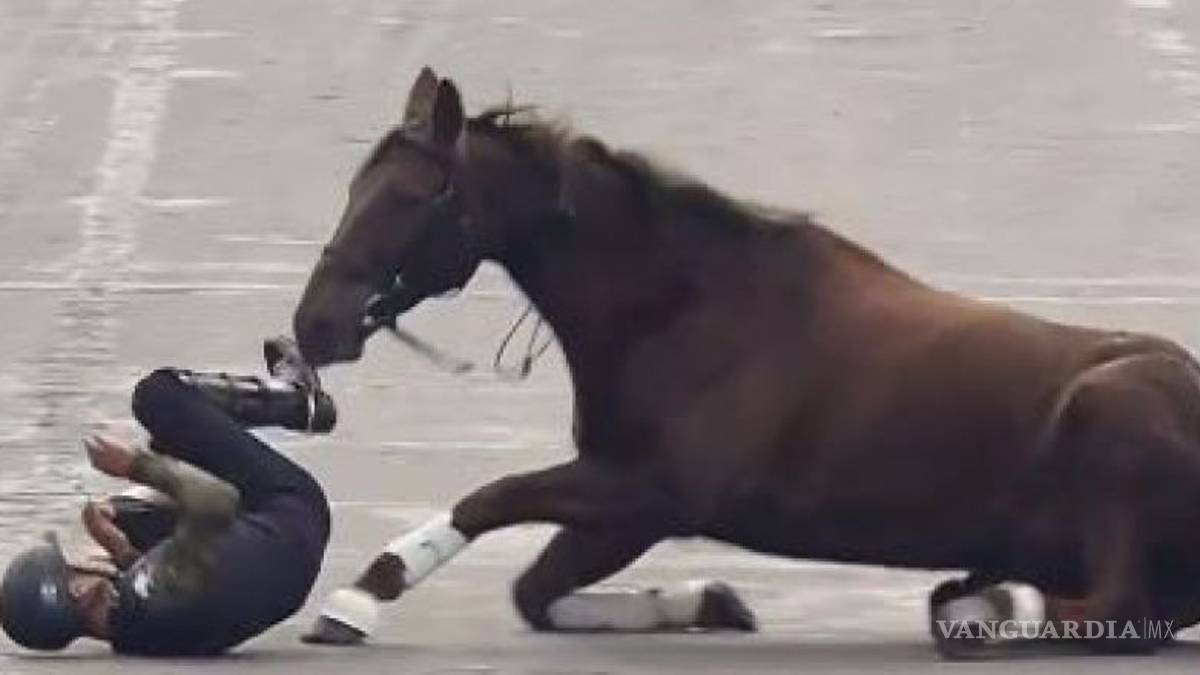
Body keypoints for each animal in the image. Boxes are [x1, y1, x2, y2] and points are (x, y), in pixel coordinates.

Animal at [292, 66, 1200, 655]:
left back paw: (986, 609)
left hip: (1109, 420)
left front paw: (357, 599)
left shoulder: (653, 492)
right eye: (352, 188)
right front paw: (709, 601)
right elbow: (536, 589)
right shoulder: (624, 507)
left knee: (1122, 611)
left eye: (410, 198)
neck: (685, 309)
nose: (312, 325)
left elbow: (490, 498)